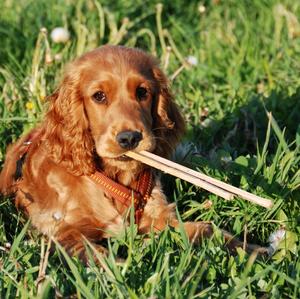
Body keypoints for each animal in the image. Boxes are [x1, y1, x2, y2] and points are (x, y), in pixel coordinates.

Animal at [0, 45, 268, 262]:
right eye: (99, 96)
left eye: (142, 92)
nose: (129, 138)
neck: (113, 177)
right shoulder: (63, 231)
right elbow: (94, 254)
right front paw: (119, 270)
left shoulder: (157, 215)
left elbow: (207, 228)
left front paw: (252, 249)